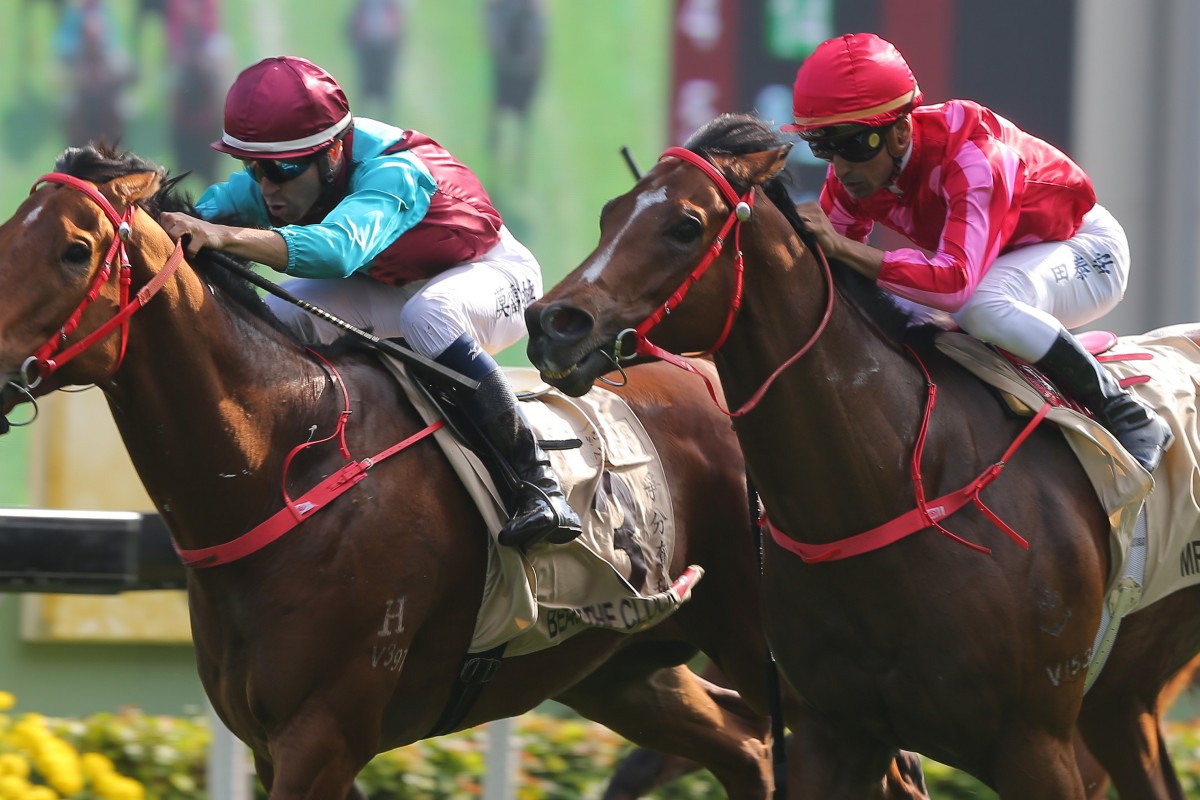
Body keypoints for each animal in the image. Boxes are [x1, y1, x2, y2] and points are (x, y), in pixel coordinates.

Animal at [0, 145, 816, 800]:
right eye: (8, 235)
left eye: (75, 248)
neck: (284, 462)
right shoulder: (269, 742)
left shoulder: (323, 732)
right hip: (621, 664)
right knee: (743, 745)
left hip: (755, 637)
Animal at [530, 113, 1200, 800]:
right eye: (610, 213)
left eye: (685, 226)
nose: (551, 322)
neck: (898, 487)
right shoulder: (834, 732)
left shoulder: (1034, 745)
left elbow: (959, 275)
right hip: (1120, 701)